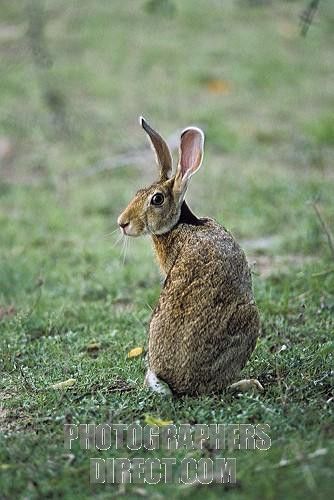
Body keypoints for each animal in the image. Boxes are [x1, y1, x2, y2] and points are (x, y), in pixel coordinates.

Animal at [118, 117, 264, 394]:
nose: (122, 223)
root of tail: (176, 384)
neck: (180, 224)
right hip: (249, 320)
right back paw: (248, 383)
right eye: (137, 193)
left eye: (156, 199)